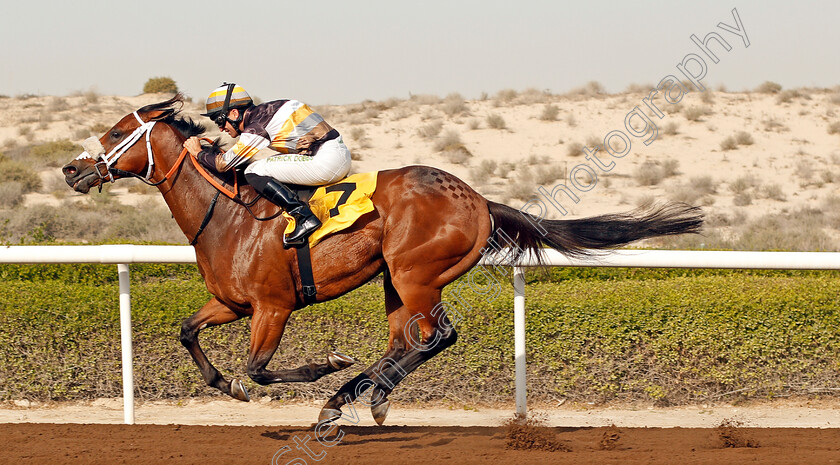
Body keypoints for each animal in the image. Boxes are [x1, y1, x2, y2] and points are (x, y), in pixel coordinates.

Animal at [60, 95, 704, 424]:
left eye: (116, 132)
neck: (229, 215)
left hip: (418, 273)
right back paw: (357, 397)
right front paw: (226, 386)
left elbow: (260, 368)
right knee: (405, 340)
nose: (72, 168)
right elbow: (188, 332)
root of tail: (477, 199)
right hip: (395, 279)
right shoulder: (232, 303)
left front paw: (323, 365)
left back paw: (351, 394)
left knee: (436, 336)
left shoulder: (272, 306)